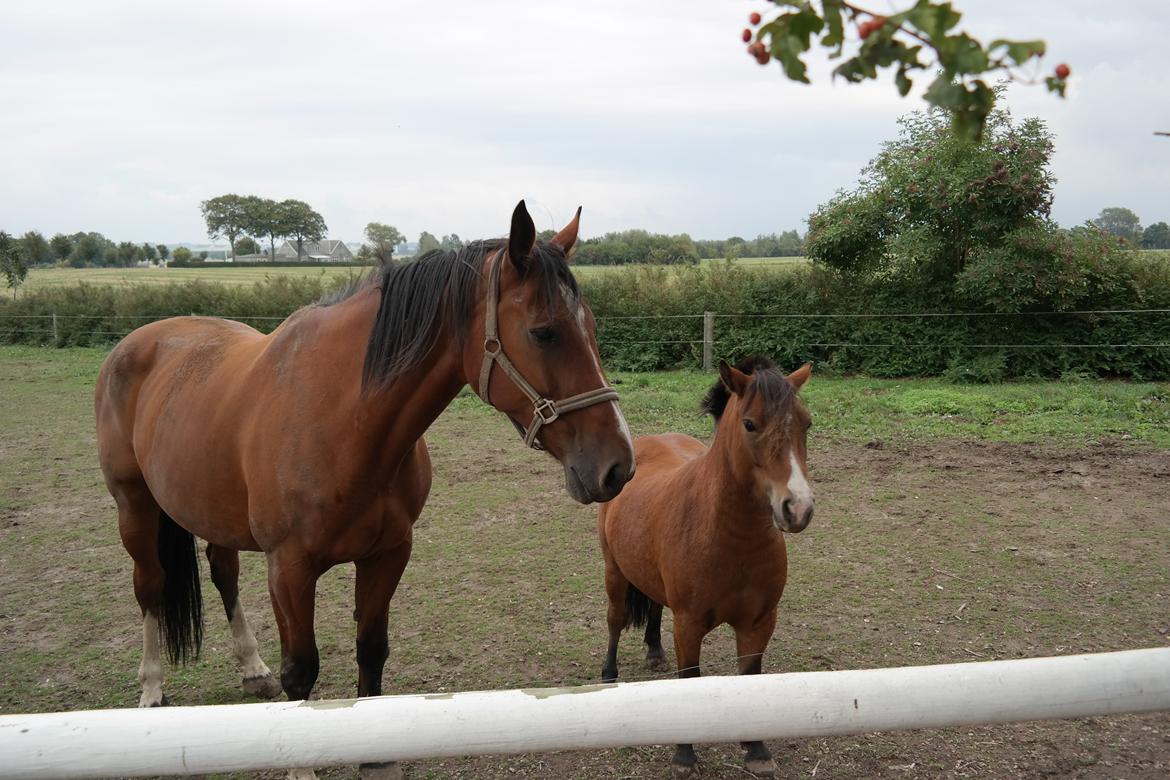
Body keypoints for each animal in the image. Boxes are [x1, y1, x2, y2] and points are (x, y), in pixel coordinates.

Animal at [95, 203, 636, 780]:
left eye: (590, 327)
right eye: (543, 333)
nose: (618, 466)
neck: (345, 421)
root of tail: (137, 342)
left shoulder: (388, 554)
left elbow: (371, 650)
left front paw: (374, 755)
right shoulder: (289, 569)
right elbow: (301, 671)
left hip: (214, 514)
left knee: (224, 576)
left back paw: (251, 668)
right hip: (134, 507)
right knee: (150, 587)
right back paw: (152, 689)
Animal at [594, 357, 814, 776]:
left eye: (807, 423)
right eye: (750, 424)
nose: (798, 508)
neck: (730, 541)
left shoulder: (759, 622)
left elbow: (749, 677)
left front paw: (755, 748)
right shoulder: (689, 623)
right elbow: (689, 679)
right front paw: (684, 755)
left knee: (654, 607)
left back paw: (654, 651)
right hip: (614, 571)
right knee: (614, 620)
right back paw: (609, 675)